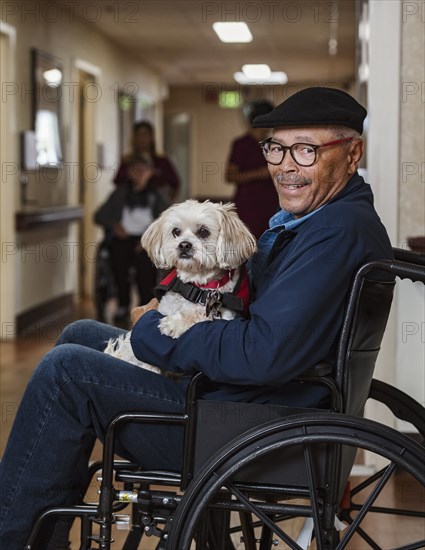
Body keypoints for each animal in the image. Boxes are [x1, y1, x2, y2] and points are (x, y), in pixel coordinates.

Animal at [103, 199, 255, 376]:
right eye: (176, 231)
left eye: (204, 231)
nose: (184, 245)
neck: (197, 288)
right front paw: (149, 366)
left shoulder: (224, 317)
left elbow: (199, 314)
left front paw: (174, 324)